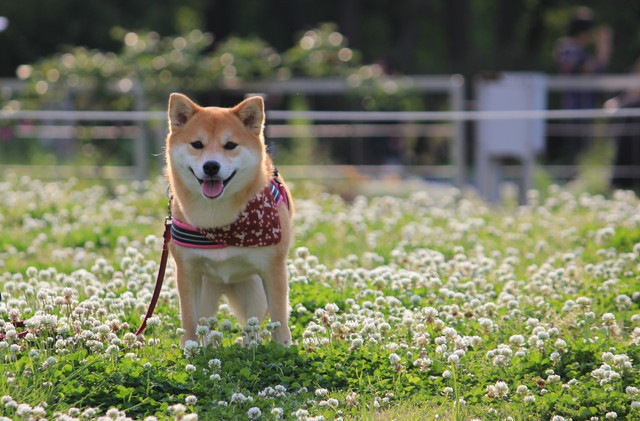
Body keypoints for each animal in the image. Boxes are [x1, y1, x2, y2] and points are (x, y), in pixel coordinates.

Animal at [165, 93, 296, 346]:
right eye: (197, 144)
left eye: (230, 145)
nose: (211, 166)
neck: (219, 222)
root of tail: (224, 286)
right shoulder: (187, 272)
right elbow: (189, 321)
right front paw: (190, 350)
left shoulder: (273, 270)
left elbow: (279, 318)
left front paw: (283, 348)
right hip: (207, 294)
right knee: (206, 325)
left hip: (254, 294)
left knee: (251, 327)